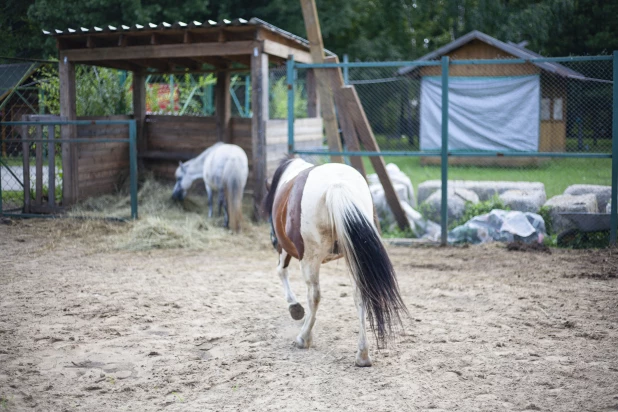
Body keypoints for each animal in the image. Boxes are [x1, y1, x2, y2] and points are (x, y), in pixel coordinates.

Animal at [262, 158, 406, 366]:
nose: (272, 239)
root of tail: (337, 185)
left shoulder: (285, 248)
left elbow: (281, 271)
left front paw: (294, 307)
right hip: (354, 257)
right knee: (360, 295)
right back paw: (362, 354)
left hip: (310, 257)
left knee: (314, 295)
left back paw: (304, 338)